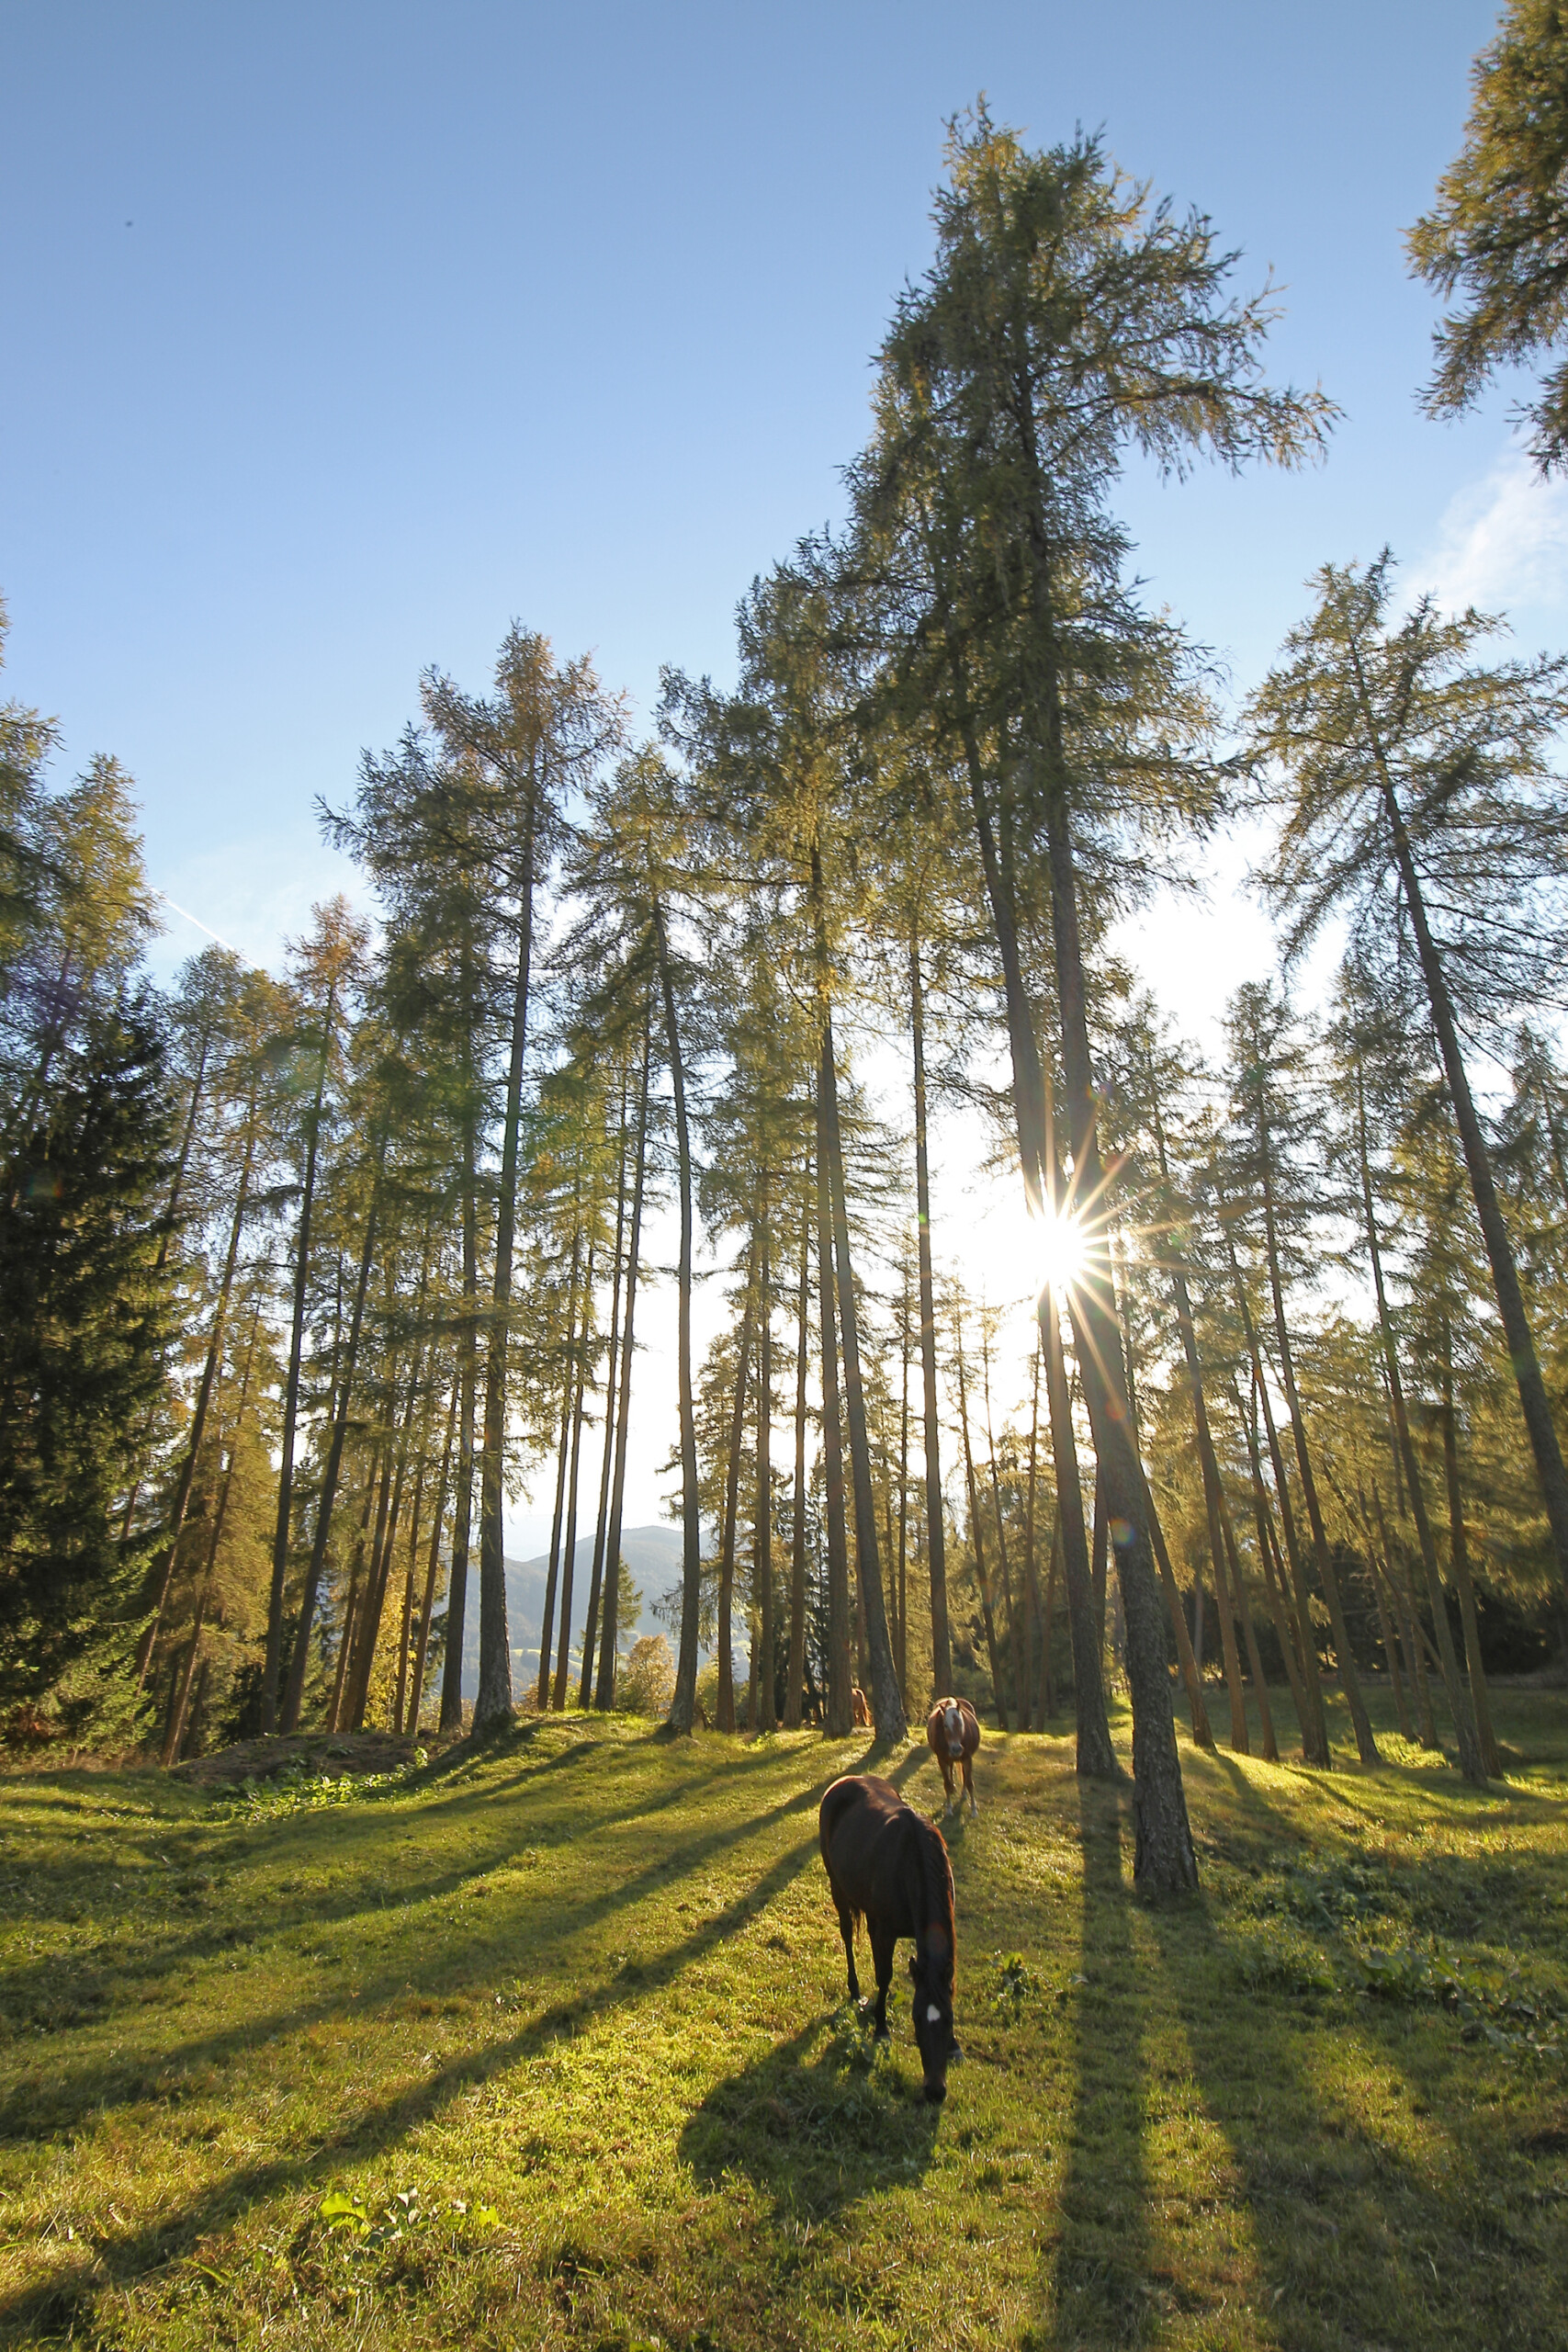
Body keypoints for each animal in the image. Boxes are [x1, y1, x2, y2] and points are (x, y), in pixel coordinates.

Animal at [822, 1769, 959, 2107]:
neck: (912, 1860)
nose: (935, 2091)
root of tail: (843, 1782)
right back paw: (855, 1990)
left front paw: (955, 2046)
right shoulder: (883, 1931)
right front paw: (881, 2028)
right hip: (837, 1887)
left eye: (949, 2020)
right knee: (847, 1934)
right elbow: (884, 1976)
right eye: (917, 2019)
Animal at [921, 1693, 982, 1815]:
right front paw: (949, 1809)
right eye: (945, 1725)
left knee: (963, 1775)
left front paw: (974, 1810)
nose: (956, 1749)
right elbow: (946, 1783)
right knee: (950, 1770)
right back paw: (953, 1789)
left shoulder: (967, 1758)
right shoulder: (941, 1759)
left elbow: (970, 1783)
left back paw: (963, 1793)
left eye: (961, 1723)